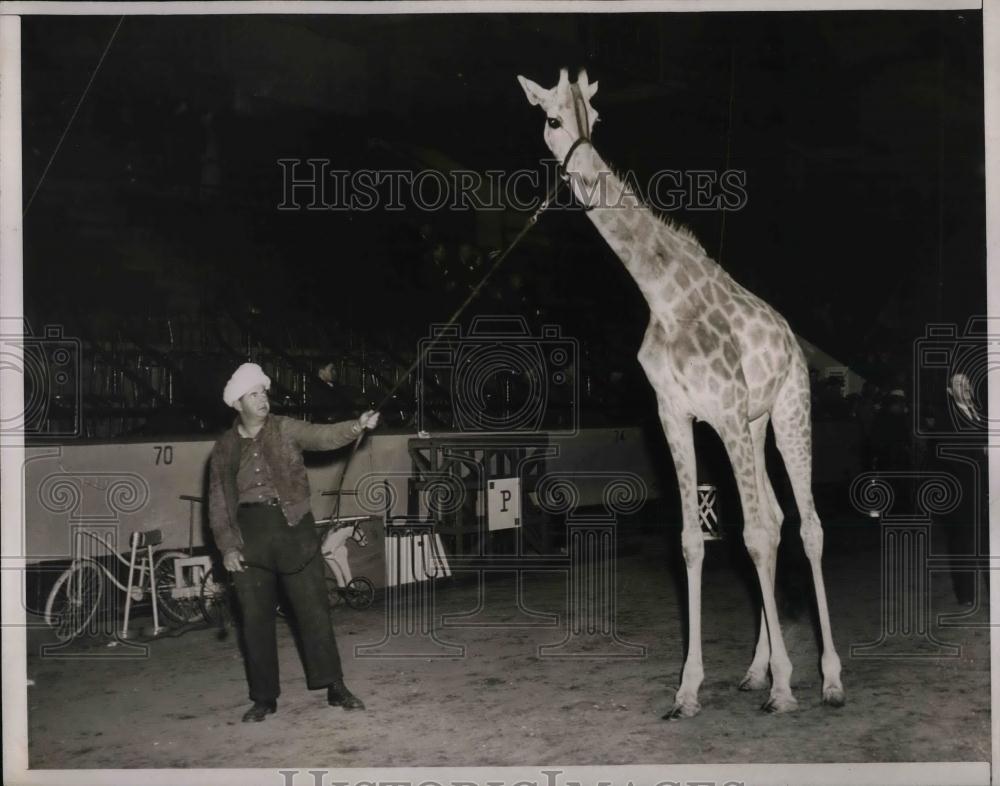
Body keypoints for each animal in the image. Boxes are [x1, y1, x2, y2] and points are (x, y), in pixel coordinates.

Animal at [524, 69, 844, 716]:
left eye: (596, 118)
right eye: (552, 119)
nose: (587, 173)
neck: (666, 298)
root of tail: (792, 338)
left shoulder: (724, 409)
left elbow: (755, 535)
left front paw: (784, 687)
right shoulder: (677, 414)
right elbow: (694, 541)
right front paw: (689, 689)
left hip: (787, 410)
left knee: (805, 526)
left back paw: (827, 678)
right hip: (751, 424)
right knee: (776, 516)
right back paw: (756, 669)